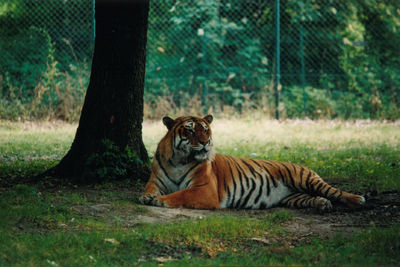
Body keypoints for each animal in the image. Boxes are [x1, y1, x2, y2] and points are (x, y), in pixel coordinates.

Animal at [140, 115, 366, 211]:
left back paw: (357, 199)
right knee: (313, 198)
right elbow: (150, 188)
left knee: (335, 191)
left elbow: (181, 194)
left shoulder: (204, 190)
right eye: (189, 130)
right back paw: (322, 204)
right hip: (294, 196)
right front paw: (147, 197)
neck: (179, 160)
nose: (205, 142)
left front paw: (160, 200)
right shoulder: (156, 180)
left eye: (205, 130)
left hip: (305, 178)